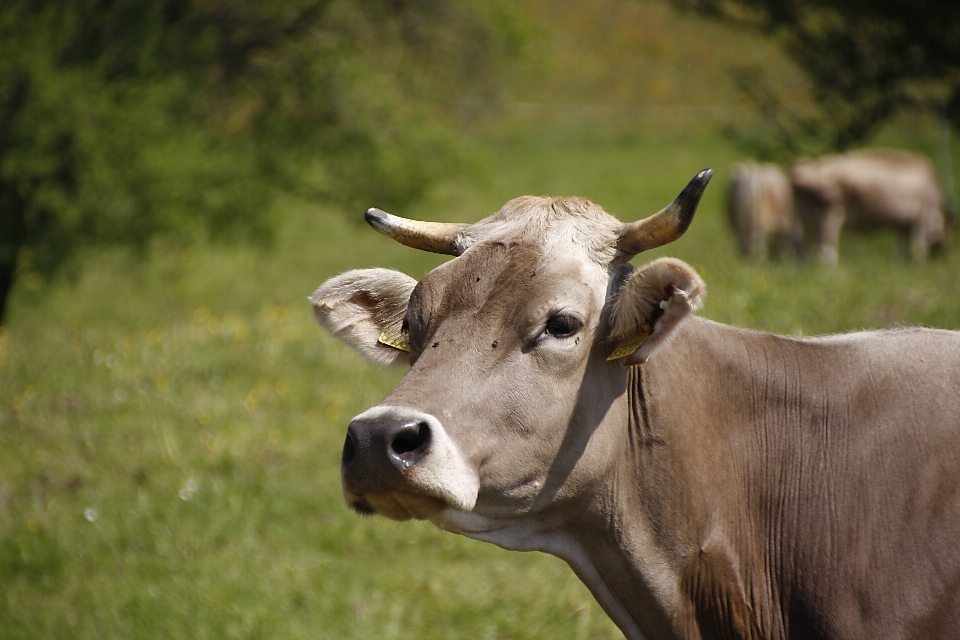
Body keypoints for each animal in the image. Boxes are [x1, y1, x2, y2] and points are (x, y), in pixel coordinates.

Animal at [788, 149, 952, 264]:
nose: (941, 254)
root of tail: (803, 166)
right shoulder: (923, 218)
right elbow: (919, 249)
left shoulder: (903, 225)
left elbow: (903, 249)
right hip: (829, 216)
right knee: (826, 254)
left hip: (807, 223)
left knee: (805, 253)